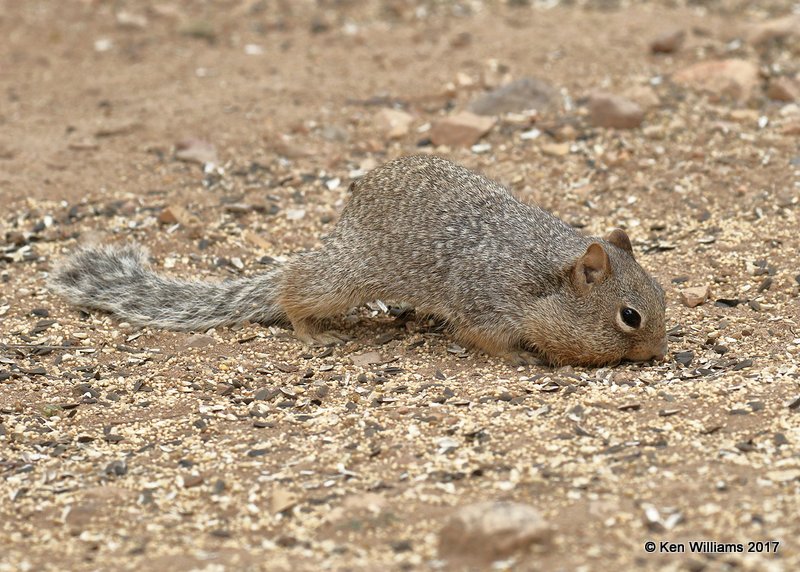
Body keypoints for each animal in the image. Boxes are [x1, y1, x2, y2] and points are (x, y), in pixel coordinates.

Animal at [50, 154, 668, 364]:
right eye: (629, 316)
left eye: (662, 295)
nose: (659, 354)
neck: (547, 277)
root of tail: (343, 225)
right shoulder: (486, 301)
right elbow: (484, 338)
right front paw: (521, 357)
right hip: (347, 277)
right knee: (295, 287)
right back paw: (309, 331)